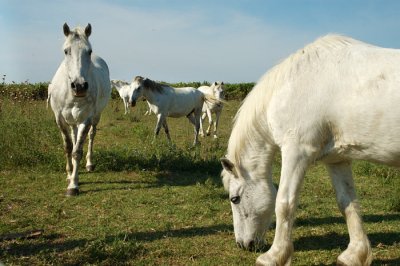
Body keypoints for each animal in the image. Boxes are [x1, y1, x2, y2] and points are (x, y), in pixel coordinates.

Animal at [48, 22, 111, 196]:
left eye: (89, 51)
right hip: (72, 121)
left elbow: (77, 151)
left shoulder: (86, 119)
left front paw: (73, 185)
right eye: (66, 51)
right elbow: (68, 146)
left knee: (90, 137)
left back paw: (89, 164)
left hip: (95, 117)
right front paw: (69, 174)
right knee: (74, 136)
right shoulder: (60, 120)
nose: (80, 86)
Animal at [219, 34, 400, 264]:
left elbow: (284, 203)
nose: (243, 244)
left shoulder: (296, 152)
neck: (290, 87)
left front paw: (273, 256)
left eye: (234, 199)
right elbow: (347, 203)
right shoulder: (337, 160)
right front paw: (354, 255)